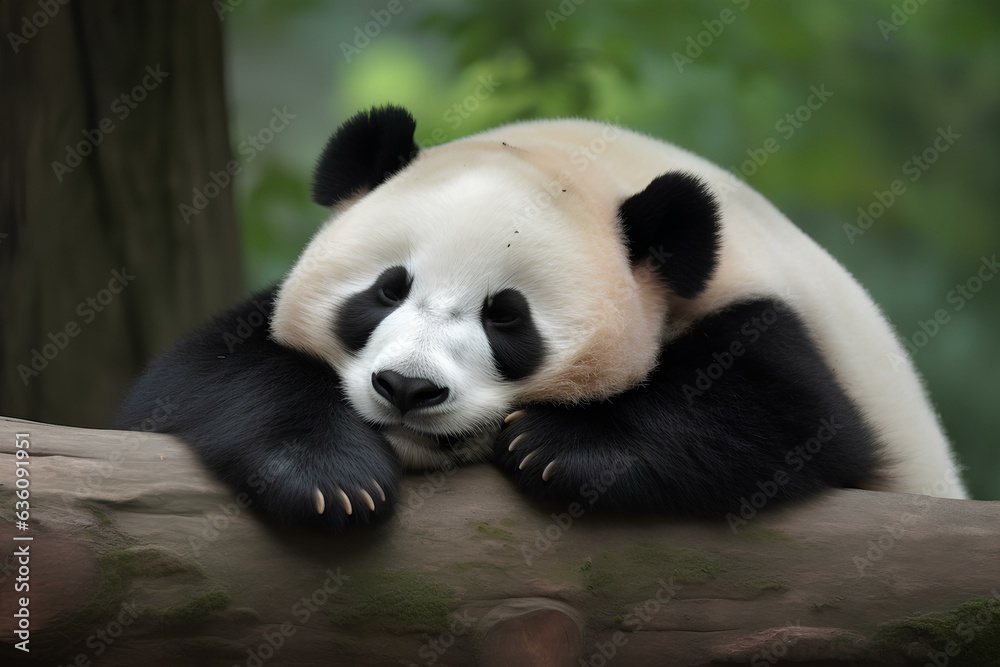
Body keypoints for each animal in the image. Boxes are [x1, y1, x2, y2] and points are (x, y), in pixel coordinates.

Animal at [115, 104, 967, 532]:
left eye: (507, 317)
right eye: (387, 290)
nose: (407, 389)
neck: (594, 166)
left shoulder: (772, 314)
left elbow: (796, 416)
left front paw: (558, 447)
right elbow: (199, 375)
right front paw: (329, 477)